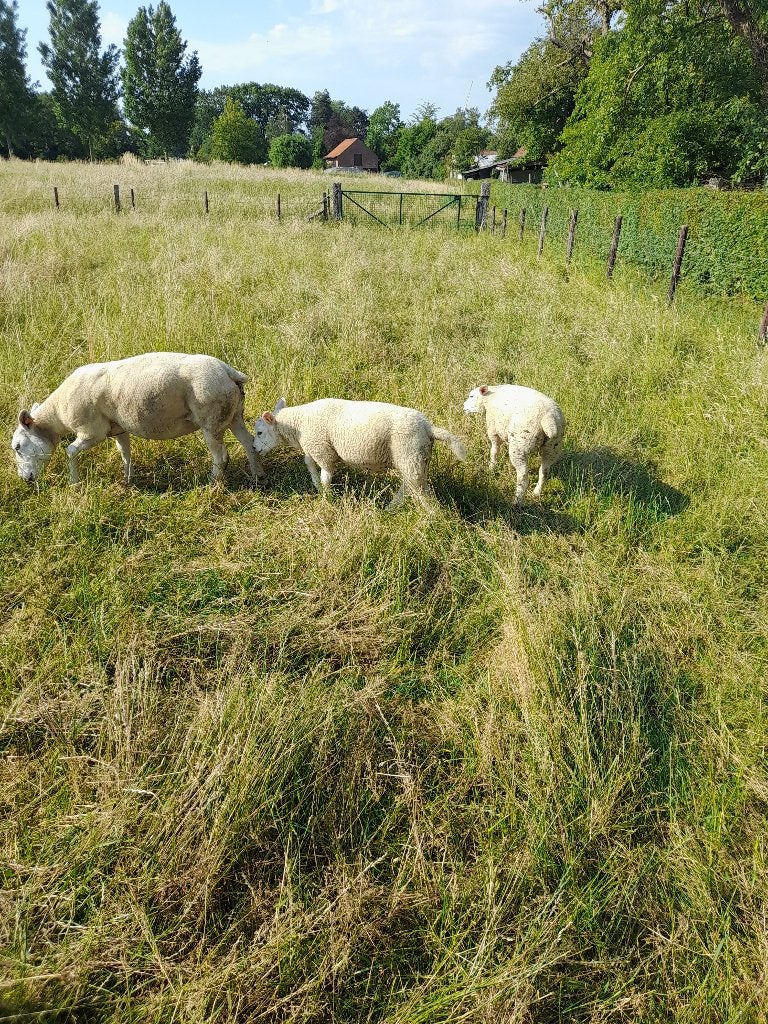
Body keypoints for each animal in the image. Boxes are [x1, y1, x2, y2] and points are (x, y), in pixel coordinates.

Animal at [11, 352, 265, 486]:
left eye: (17, 447)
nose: (25, 479)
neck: (57, 412)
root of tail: (229, 372)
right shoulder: (118, 429)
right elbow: (125, 453)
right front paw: (127, 479)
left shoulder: (91, 432)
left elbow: (70, 451)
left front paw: (74, 483)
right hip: (233, 414)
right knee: (248, 443)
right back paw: (258, 476)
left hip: (211, 419)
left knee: (219, 457)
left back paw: (212, 483)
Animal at [252, 397, 466, 508]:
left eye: (260, 432)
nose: (254, 448)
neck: (298, 424)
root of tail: (429, 428)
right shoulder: (316, 447)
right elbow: (309, 463)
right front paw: (317, 487)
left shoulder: (322, 450)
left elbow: (325, 475)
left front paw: (327, 497)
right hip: (414, 457)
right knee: (409, 485)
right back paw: (392, 507)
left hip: (409, 454)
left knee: (421, 490)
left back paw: (431, 516)